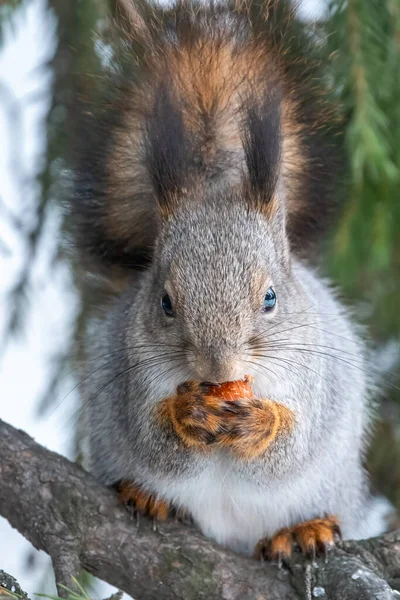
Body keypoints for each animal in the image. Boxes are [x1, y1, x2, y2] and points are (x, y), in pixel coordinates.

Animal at [70, 0, 390, 556]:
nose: (218, 369)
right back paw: (147, 496)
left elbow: (290, 446)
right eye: (165, 302)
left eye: (271, 298)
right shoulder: (130, 377)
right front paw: (186, 415)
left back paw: (303, 529)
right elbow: (155, 443)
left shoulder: (314, 380)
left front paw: (262, 423)